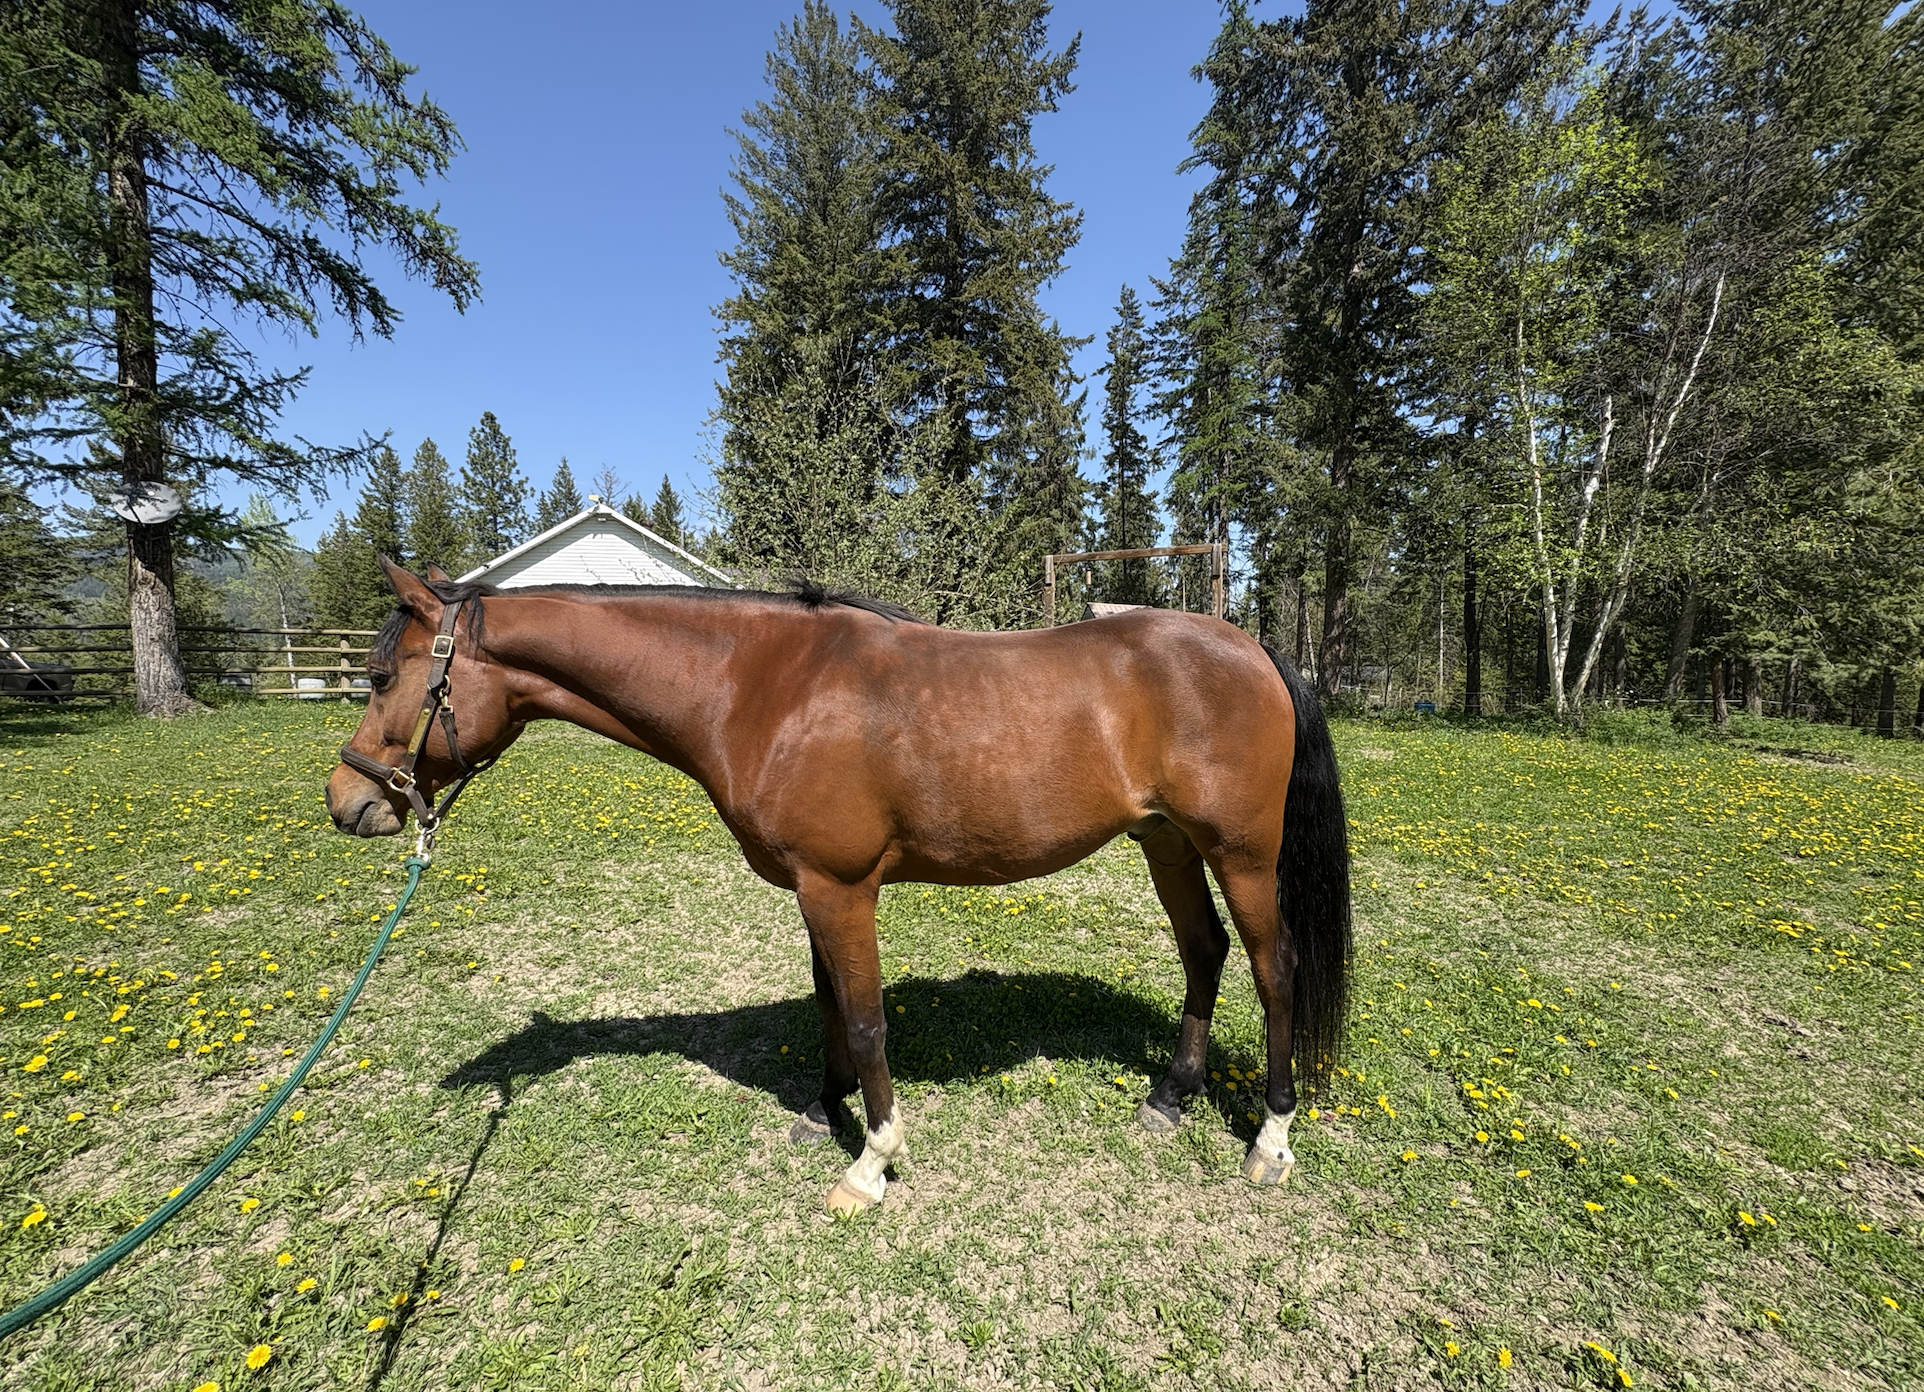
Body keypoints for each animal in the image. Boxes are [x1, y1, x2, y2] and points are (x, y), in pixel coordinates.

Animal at [325, 560, 1352, 1214]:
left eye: (378, 677)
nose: (348, 803)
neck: (763, 688)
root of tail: (1253, 649)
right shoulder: (809, 889)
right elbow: (826, 1004)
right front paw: (826, 1113)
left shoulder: (842, 887)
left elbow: (863, 1018)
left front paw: (872, 1163)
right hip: (1166, 842)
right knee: (1203, 954)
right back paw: (1170, 1097)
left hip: (1241, 854)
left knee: (1273, 970)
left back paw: (1271, 1142)